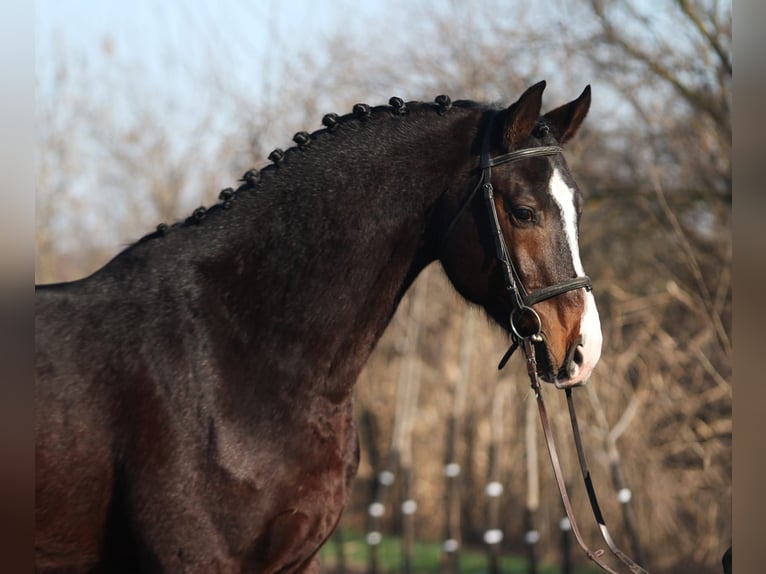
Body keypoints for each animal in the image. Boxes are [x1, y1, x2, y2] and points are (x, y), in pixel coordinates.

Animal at [34, 82, 600, 574]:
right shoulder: (195, 560)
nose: (584, 349)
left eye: (578, 208)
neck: (236, 349)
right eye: (524, 212)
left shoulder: (297, 560)